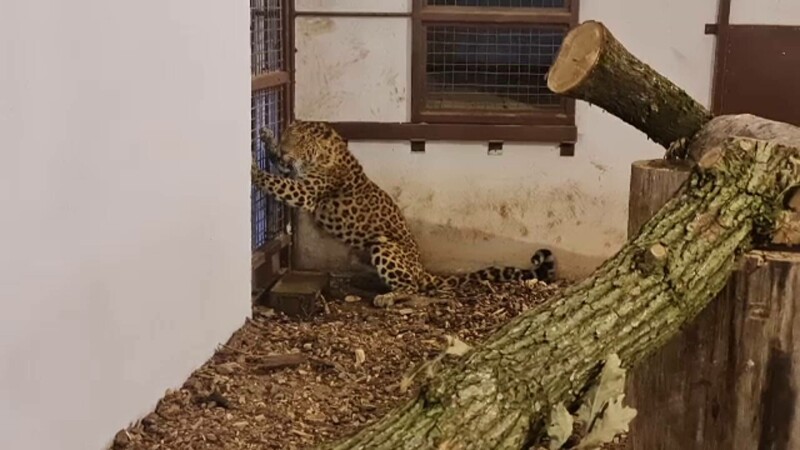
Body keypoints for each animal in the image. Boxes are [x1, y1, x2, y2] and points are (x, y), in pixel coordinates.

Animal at [251, 120, 556, 307]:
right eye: (287, 135)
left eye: (300, 140)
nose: (286, 150)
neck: (328, 152)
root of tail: (422, 268)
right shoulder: (297, 176)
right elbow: (281, 170)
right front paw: (268, 139)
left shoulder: (306, 191)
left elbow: (276, 181)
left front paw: (253, 167)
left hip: (383, 246)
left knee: (413, 286)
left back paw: (387, 297)